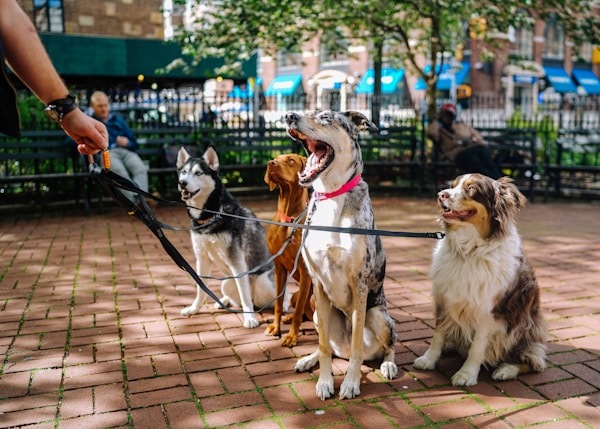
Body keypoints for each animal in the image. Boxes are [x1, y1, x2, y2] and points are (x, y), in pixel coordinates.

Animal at [176, 147, 282, 328]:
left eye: (198, 173)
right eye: (183, 172)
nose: (182, 182)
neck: (211, 215)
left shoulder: (237, 261)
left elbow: (245, 295)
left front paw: (250, 318)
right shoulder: (202, 258)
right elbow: (200, 288)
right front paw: (194, 309)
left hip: (263, 282)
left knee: (273, 297)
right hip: (226, 282)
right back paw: (224, 301)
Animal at [266, 152, 316, 346]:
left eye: (291, 160)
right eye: (276, 158)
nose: (270, 163)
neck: (289, 219)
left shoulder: (304, 272)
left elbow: (298, 312)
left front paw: (292, 336)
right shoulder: (279, 267)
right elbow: (279, 303)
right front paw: (276, 327)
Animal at [286, 109, 398, 398]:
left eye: (326, 117)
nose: (289, 115)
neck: (331, 196)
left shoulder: (359, 283)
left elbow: (358, 344)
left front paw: (350, 383)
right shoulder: (317, 283)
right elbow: (324, 346)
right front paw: (325, 382)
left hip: (379, 316)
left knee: (388, 346)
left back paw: (388, 365)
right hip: (317, 313)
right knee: (331, 347)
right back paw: (308, 359)